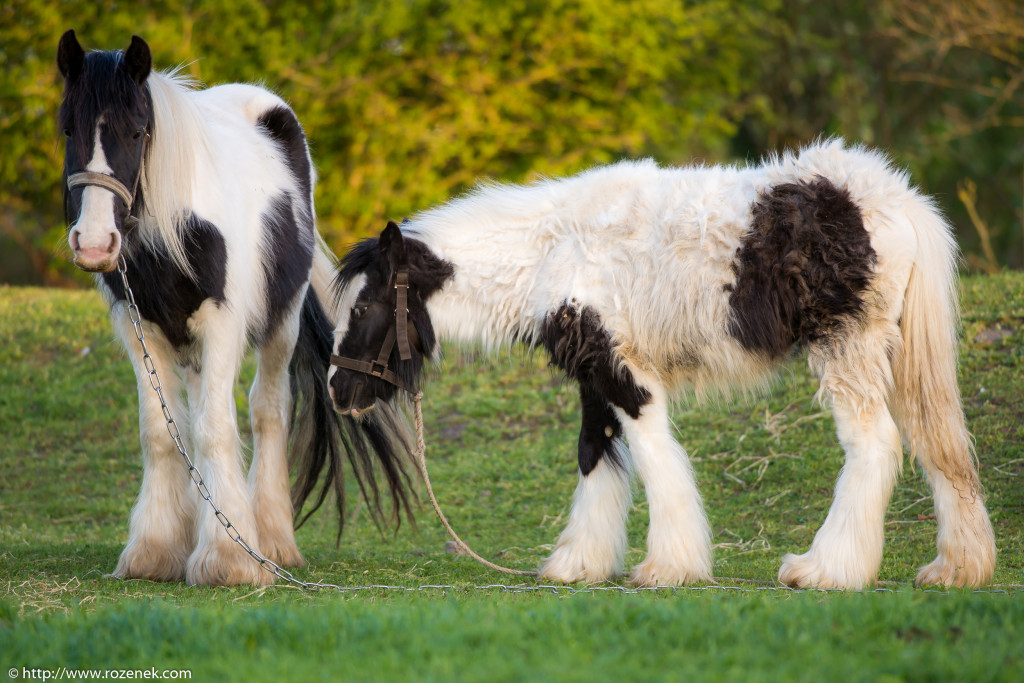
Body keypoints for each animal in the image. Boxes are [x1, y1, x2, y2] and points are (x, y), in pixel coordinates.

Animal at [58, 30, 411, 589]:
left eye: (137, 132)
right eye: (68, 128)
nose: (94, 244)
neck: (177, 230)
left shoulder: (221, 323)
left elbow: (217, 429)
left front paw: (230, 560)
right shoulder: (140, 329)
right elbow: (162, 433)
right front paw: (155, 550)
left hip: (280, 326)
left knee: (267, 411)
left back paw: (271, 539)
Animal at [329, 141, 999, 589]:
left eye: (363, 305)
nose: (339, 391)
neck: (552, 253)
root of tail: (895, 199)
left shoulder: (627, 375)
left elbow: (654, 458)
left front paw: (667, 567)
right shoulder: (594, 375)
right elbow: (595, 454)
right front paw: (578, 564)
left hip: (847, 350)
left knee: (875, 444)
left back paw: (823, 570)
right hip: (899, 356)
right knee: (939, 447)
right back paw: (956, 569)